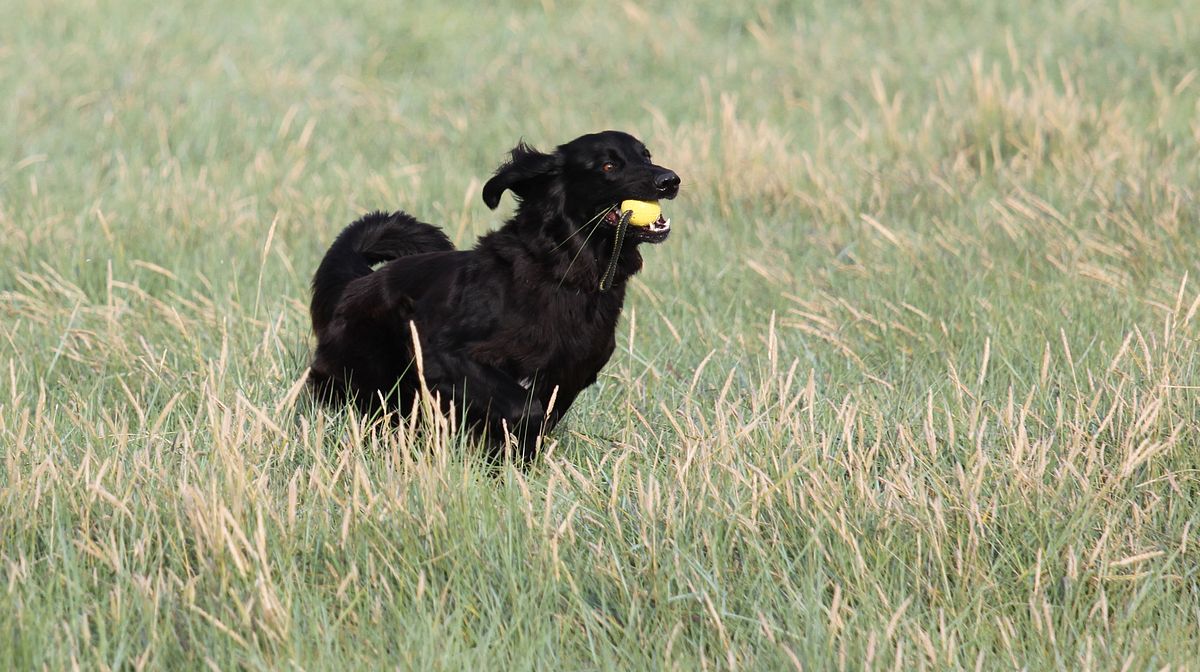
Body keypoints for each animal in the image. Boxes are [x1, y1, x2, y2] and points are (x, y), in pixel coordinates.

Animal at [308, 131, 680, 459]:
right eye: (608, 165)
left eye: (646, 156)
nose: (670, 180)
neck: (562, 272)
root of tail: (354, 284)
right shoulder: (445, 354)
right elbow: (525, 408)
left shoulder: (568, 376)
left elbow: (540, 419)